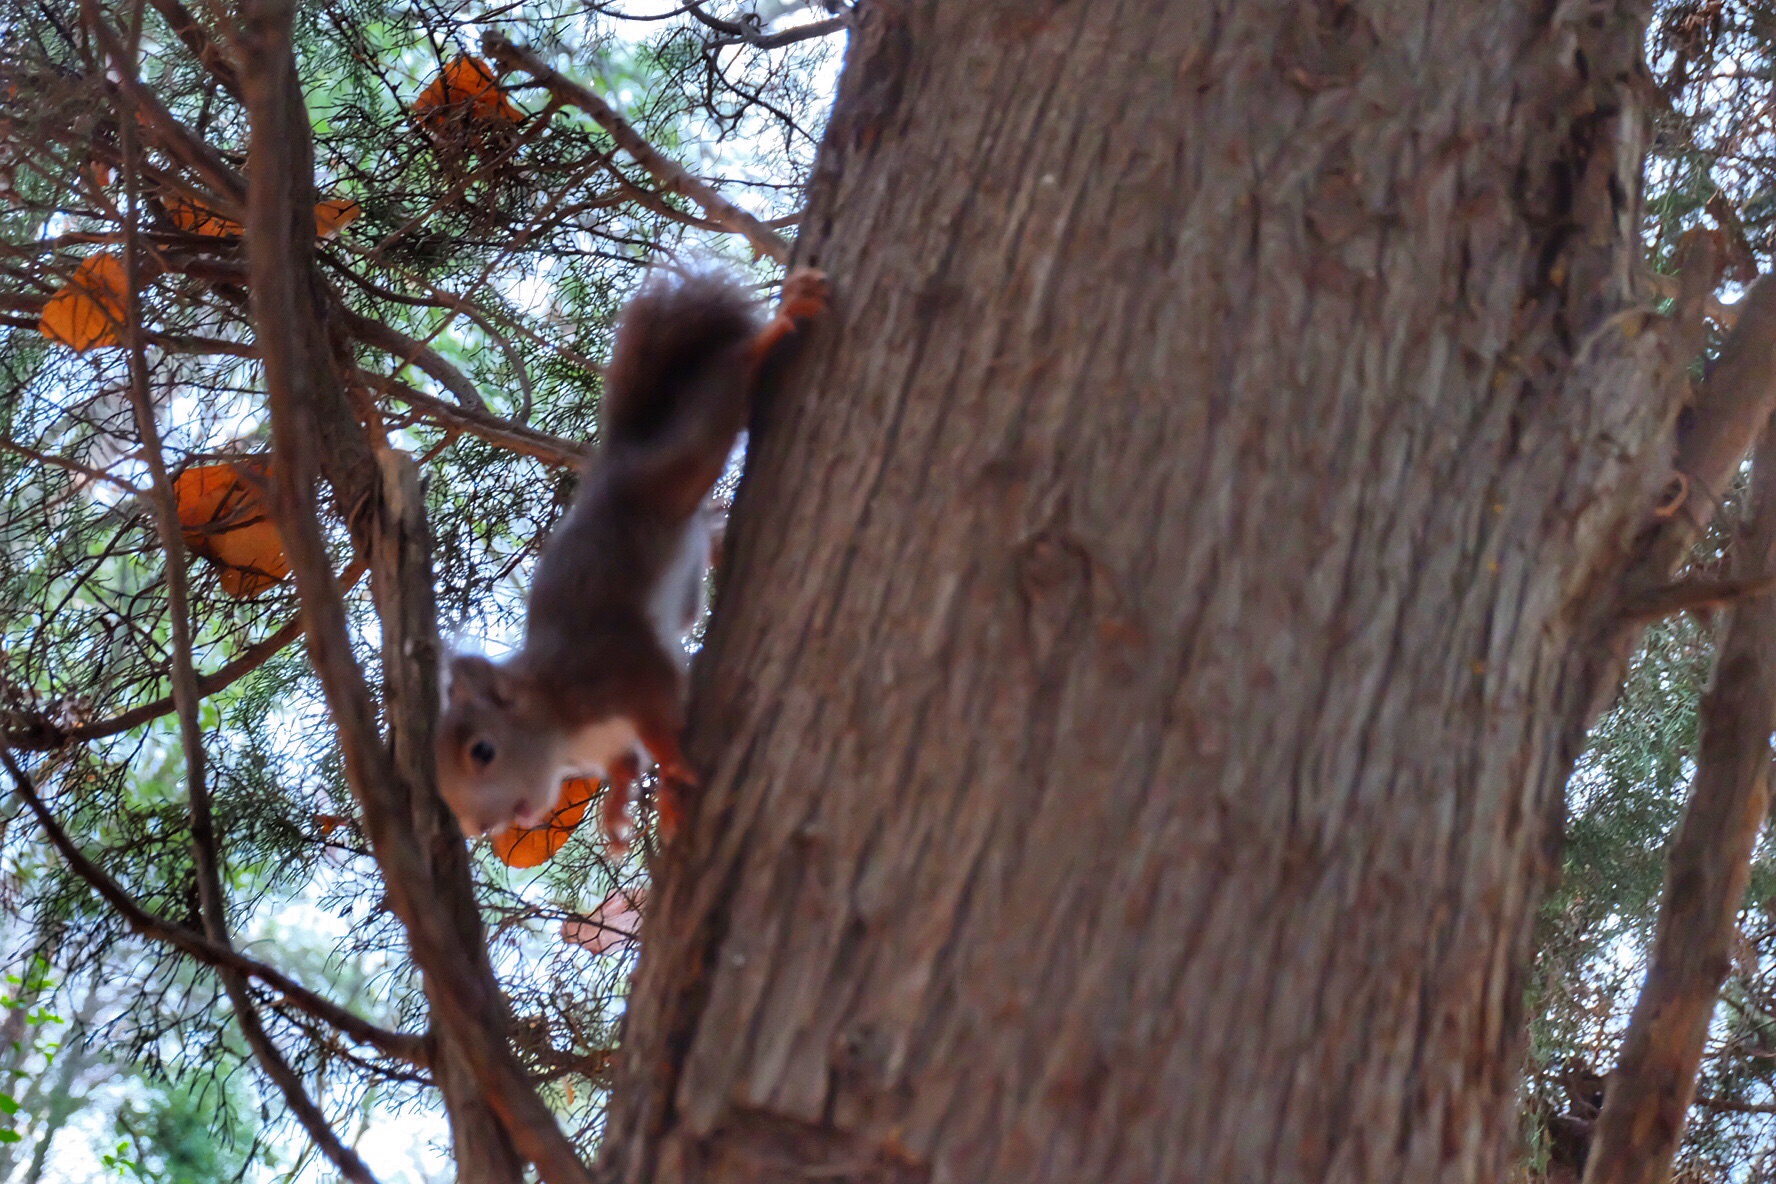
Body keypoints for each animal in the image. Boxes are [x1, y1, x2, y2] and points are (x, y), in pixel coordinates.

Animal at [444, 264, 831, 848]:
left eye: (483, 751)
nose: (481, 828)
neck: (561, 723)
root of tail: (616, 457)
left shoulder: (622, 670)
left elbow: (659, 720)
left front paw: (673, 768)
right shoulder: (604, 745)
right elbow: (625, 764)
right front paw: (619, 809)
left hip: (677, 467)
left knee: (724, 389)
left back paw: (778, 324)